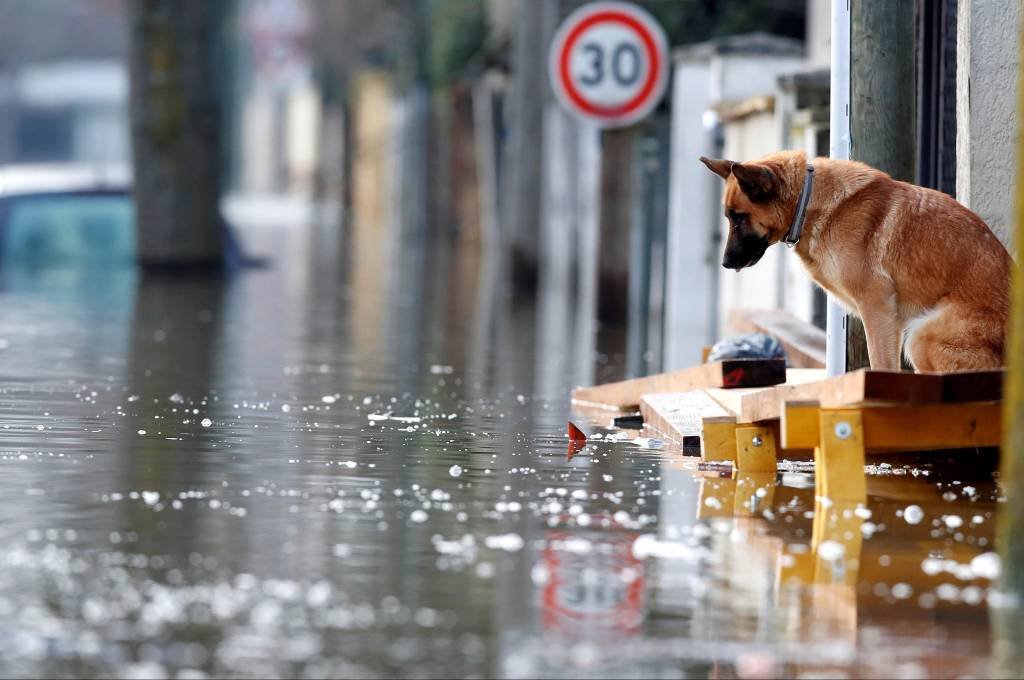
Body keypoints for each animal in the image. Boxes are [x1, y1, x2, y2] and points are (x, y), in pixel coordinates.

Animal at [700, 151, 1011, 372]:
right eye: (728, 217)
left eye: (739, 218)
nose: (725, 263)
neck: (808, 201)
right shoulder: (890, 319)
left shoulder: (877, 309)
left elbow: (881, 366)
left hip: (921, 336)